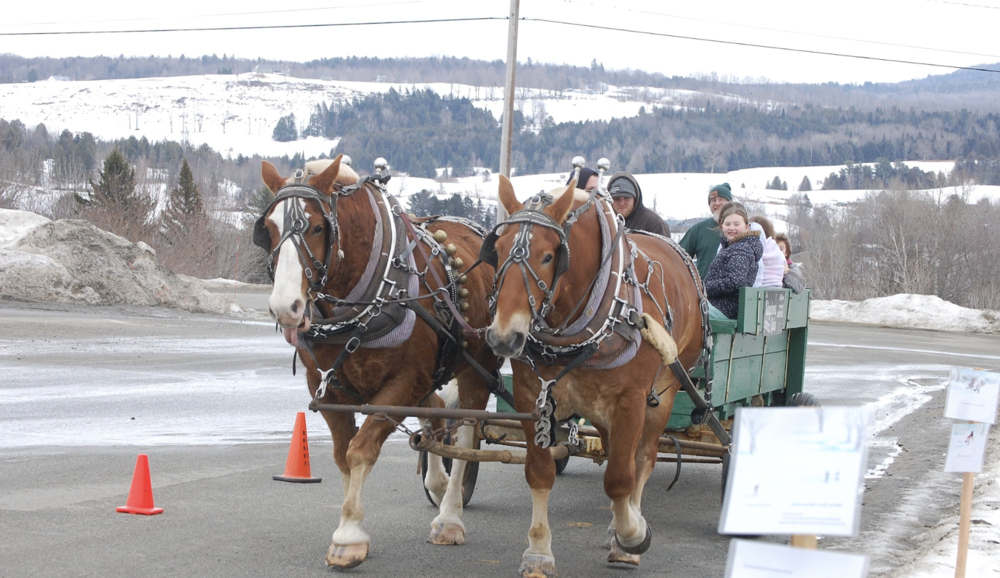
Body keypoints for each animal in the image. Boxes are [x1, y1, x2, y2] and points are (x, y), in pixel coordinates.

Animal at [253, 155, 502, 569]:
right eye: (268, 229)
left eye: (318, 227)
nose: (285, 307)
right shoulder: (328, 387)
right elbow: (342, 455)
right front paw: (349, 527)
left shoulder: (402, 384)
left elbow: (360, 450)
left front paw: (349, 537)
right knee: (436, 413)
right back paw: (437, 483)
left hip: (477, 368)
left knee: (466, 435)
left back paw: (449, 516)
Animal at [483, 175, 707, 577]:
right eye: (498, 249)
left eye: (548, 256)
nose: (503, 337)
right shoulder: (531, 394)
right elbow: (540, 472)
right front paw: (538, 551)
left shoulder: (631, 400)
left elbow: (619, 479)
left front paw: (633, 536)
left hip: (664, 391)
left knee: (642, 458)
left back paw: (627, 527)